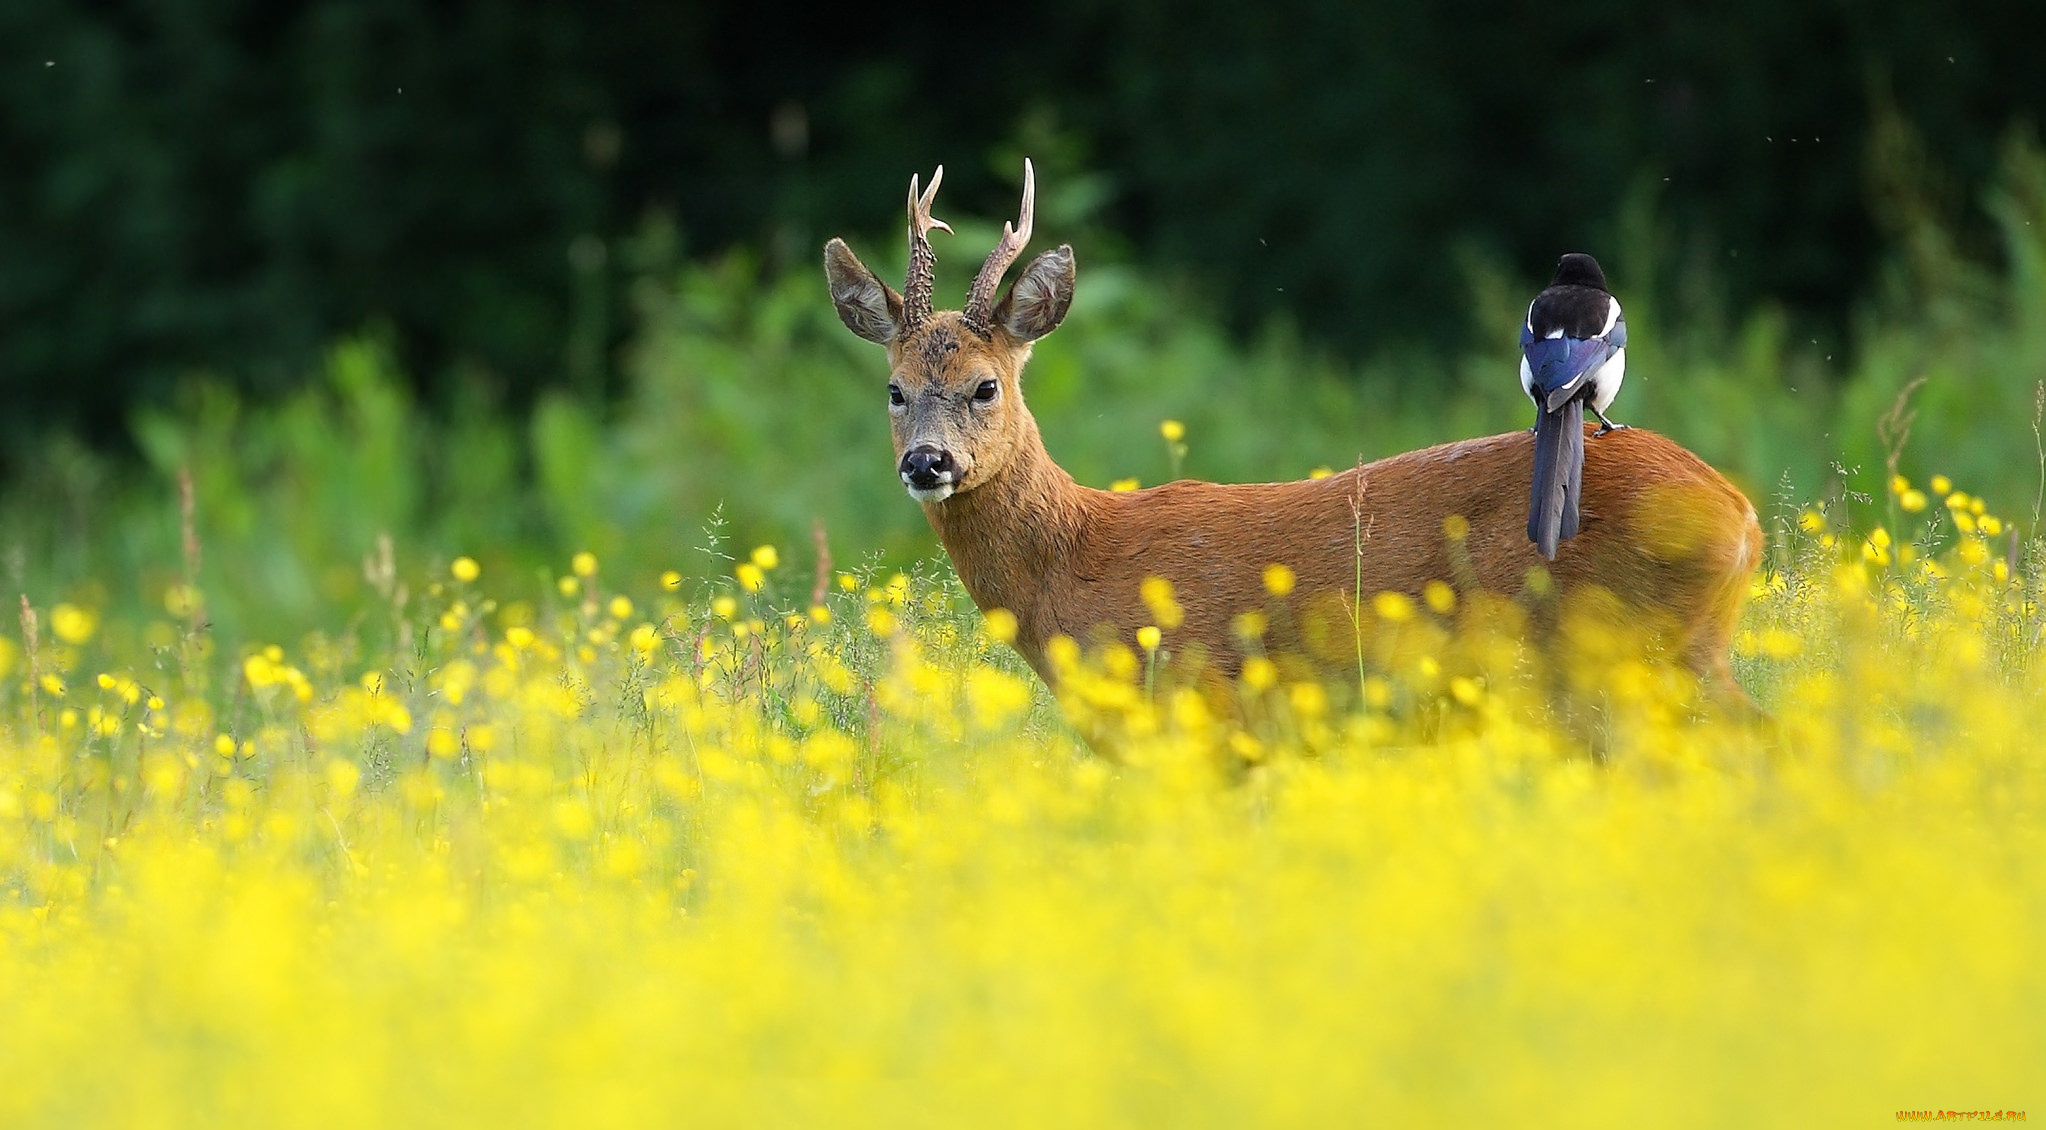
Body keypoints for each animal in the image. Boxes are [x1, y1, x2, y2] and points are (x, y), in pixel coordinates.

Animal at [822, 158, 1767, 704]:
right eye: (893, 390)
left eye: (986, 386)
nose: (927, 463)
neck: (1081, 558)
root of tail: (1743, 517)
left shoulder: (1202, 706)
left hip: (1636, 658)